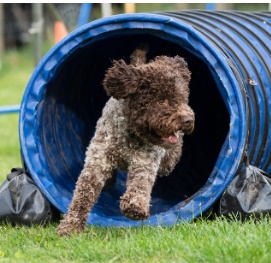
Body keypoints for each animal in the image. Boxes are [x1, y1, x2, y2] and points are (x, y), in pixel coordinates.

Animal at [56, 43, 196, 237]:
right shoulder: (97, 160)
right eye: (162, 100)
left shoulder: (144, 161)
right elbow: (82, 195)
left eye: (182, 98)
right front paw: (70, 226)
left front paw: (135, 206)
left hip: (167, 161)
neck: (129, 133)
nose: (188, 120)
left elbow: (140, 183)